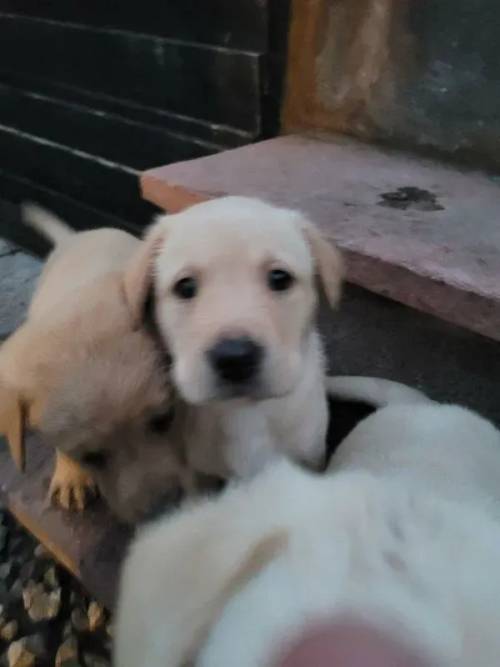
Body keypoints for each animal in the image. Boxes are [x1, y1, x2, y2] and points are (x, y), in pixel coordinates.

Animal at [129, 197, 344, 480]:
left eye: (280, 278)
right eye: (185, 287)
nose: (235, 358)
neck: (244, 412)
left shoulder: (311, 456)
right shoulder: (199, 472)